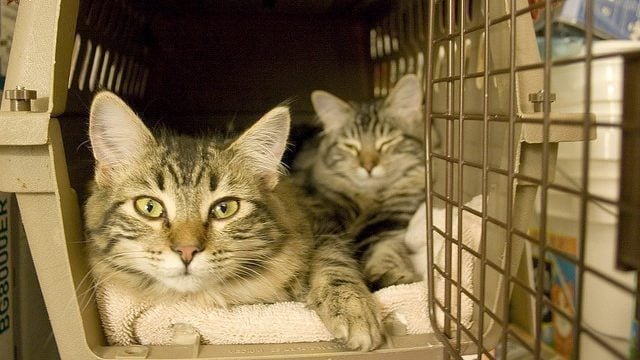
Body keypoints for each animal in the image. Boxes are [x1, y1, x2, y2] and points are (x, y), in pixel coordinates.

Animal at [85, 91, 384, 350]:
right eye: (149, 207)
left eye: (224, 208)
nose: (186, 251)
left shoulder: (322, 223)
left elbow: (334, 262)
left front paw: (355, 311)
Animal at [294, 74, 424, 292]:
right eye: (350, 146)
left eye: (386, 142)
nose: (368, 167)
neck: (367, 198)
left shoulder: (385, 226)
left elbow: (386, 252)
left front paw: (394, 277)